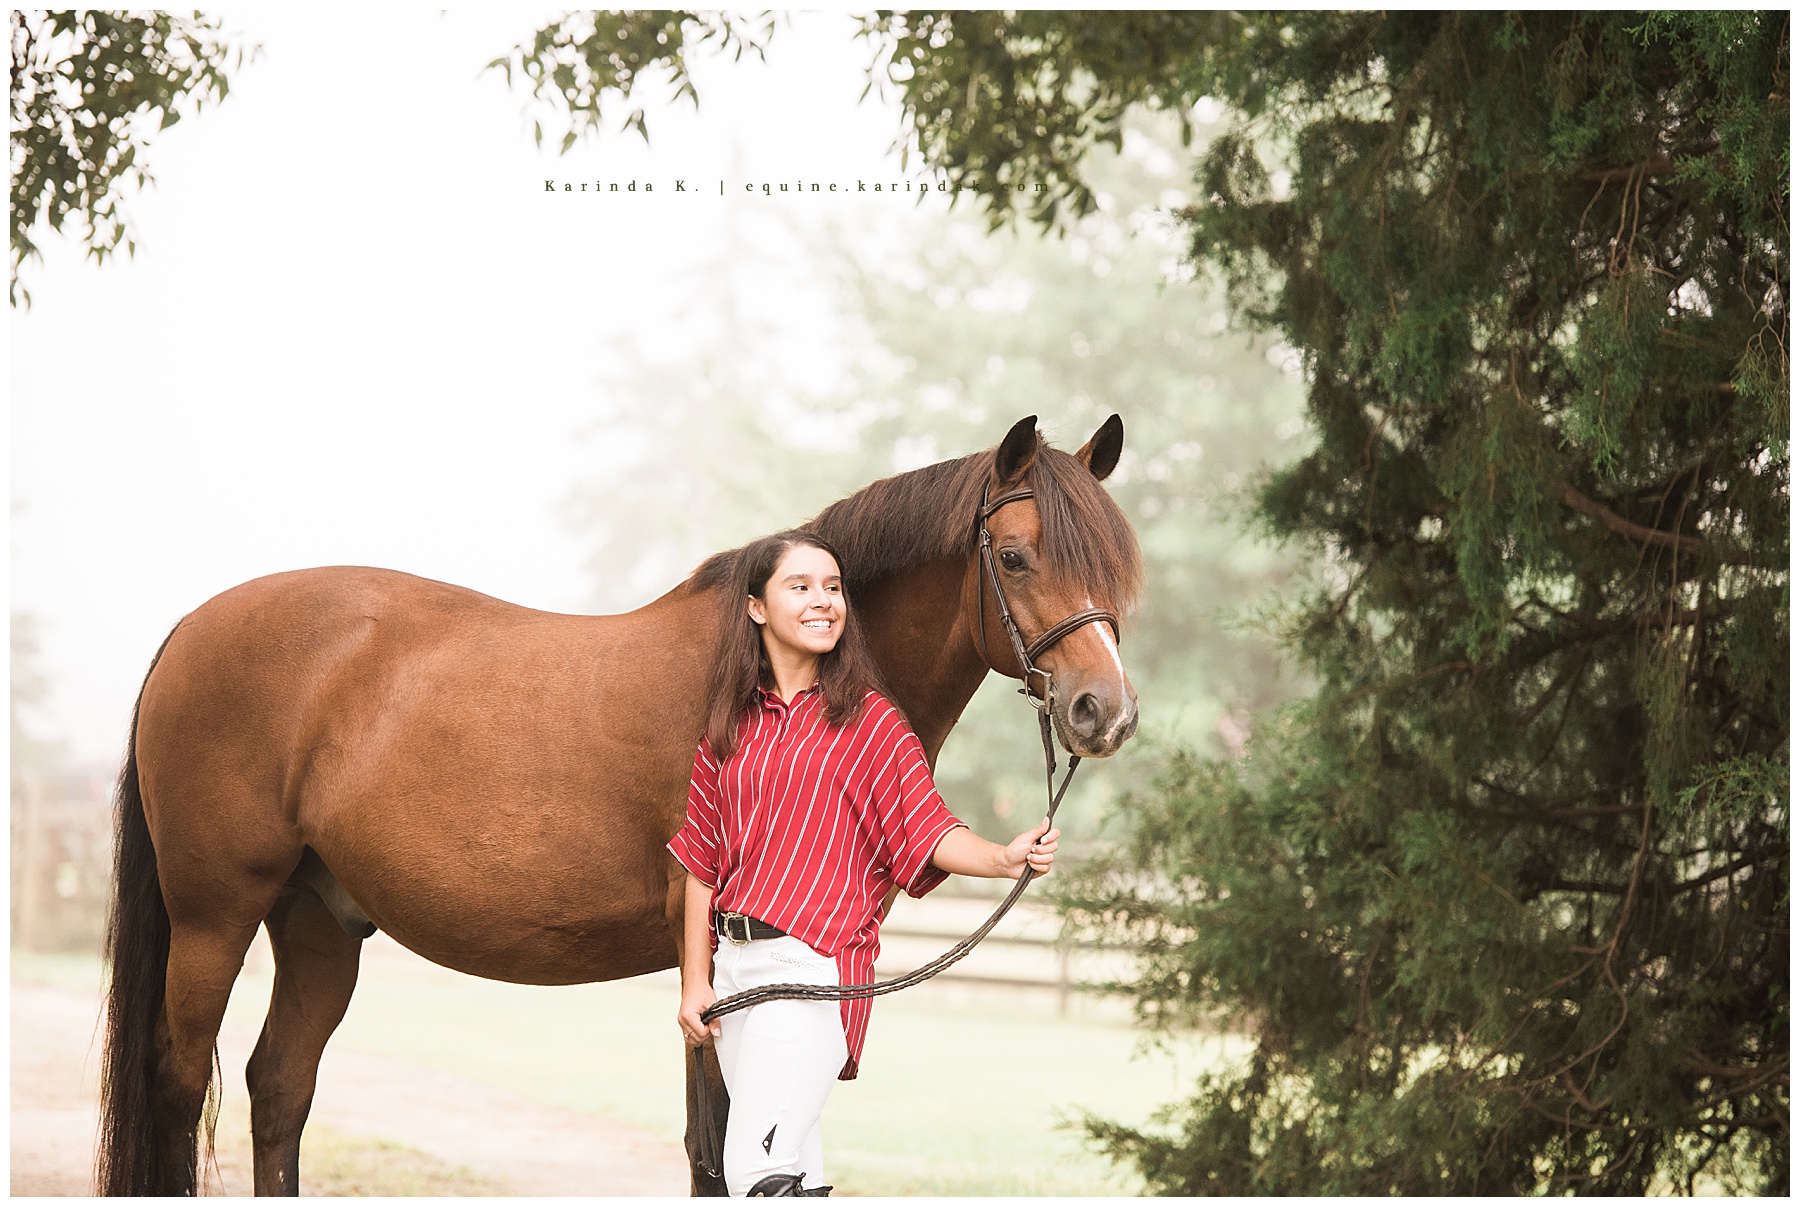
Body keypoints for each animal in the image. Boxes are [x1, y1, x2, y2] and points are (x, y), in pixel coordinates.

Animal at [95, 413, 1143, 1196]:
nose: (1106, 710)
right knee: (179, 1081)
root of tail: (190, 629)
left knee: (279, 1087)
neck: (769, 676)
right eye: (1014, 556)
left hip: (317, 922)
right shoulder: (714, 962)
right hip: (215, 917)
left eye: (1115, 563)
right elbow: (721, 1149)